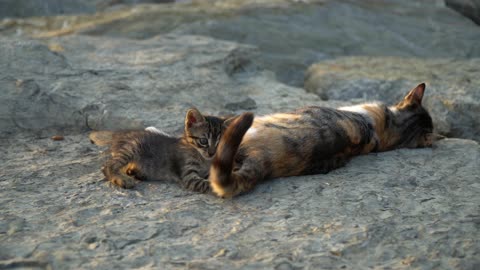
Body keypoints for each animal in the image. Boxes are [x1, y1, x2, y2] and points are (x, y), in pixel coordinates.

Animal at [90, 107, 234, 192]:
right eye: (203, 141)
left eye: (220, 143)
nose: (212, 152)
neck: (204, 159)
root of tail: (119, 134)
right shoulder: (188, 175)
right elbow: (209, 183)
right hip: (132, 148)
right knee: (107, 166)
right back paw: (122, 179)